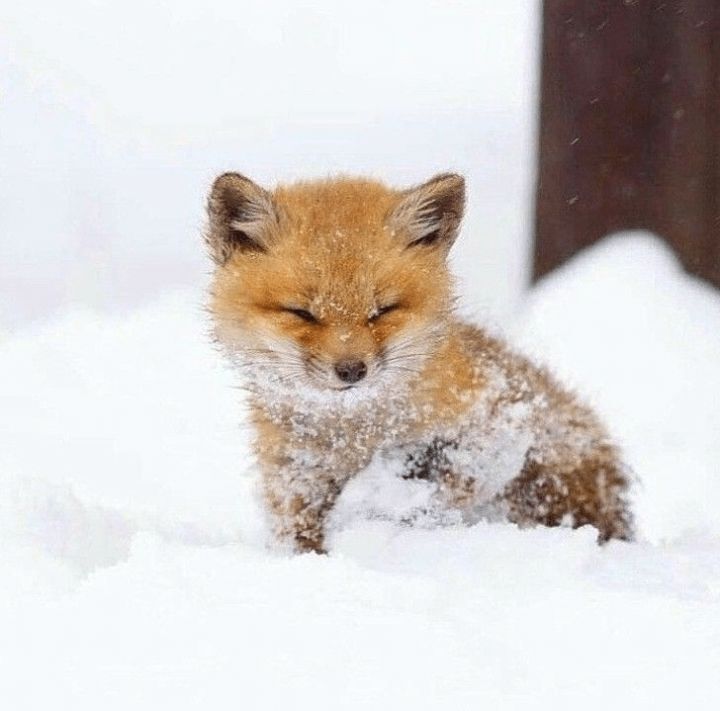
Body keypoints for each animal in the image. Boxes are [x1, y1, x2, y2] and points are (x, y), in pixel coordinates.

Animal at [205, 170, 632, 552]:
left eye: (382, 310)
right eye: (302, 313)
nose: (351, 370)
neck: (355, 438)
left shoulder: (501, 425)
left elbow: (446, 479)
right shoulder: (295, 485)